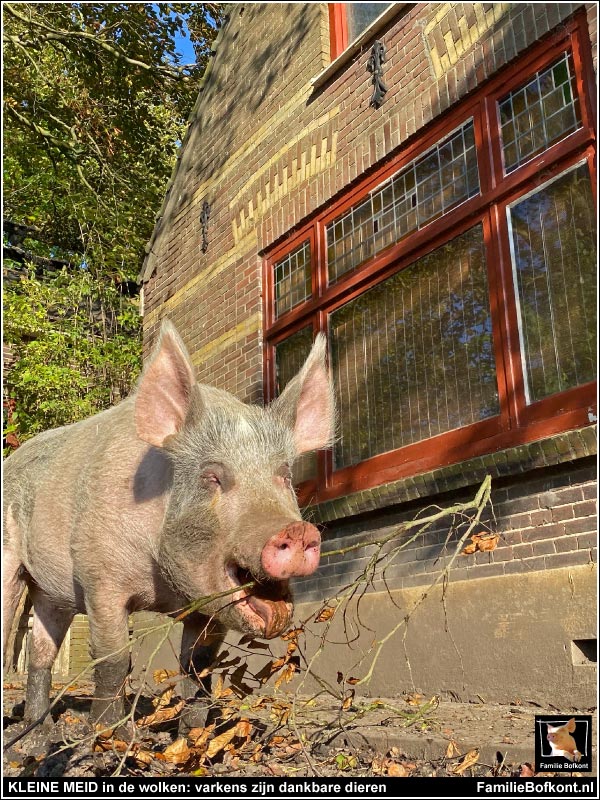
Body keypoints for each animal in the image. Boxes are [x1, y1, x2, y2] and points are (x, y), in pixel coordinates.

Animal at [2, 322, 336, 736]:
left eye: (284, 476)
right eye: (213, 476)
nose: (296, 531)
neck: (163, 588)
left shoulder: (208, 607)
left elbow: (198, 668)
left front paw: (193, 737)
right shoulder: (100, 577)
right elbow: (113, 661)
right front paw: (111, 737)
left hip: (51, 593)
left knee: (41, 652)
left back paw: (39, 729)